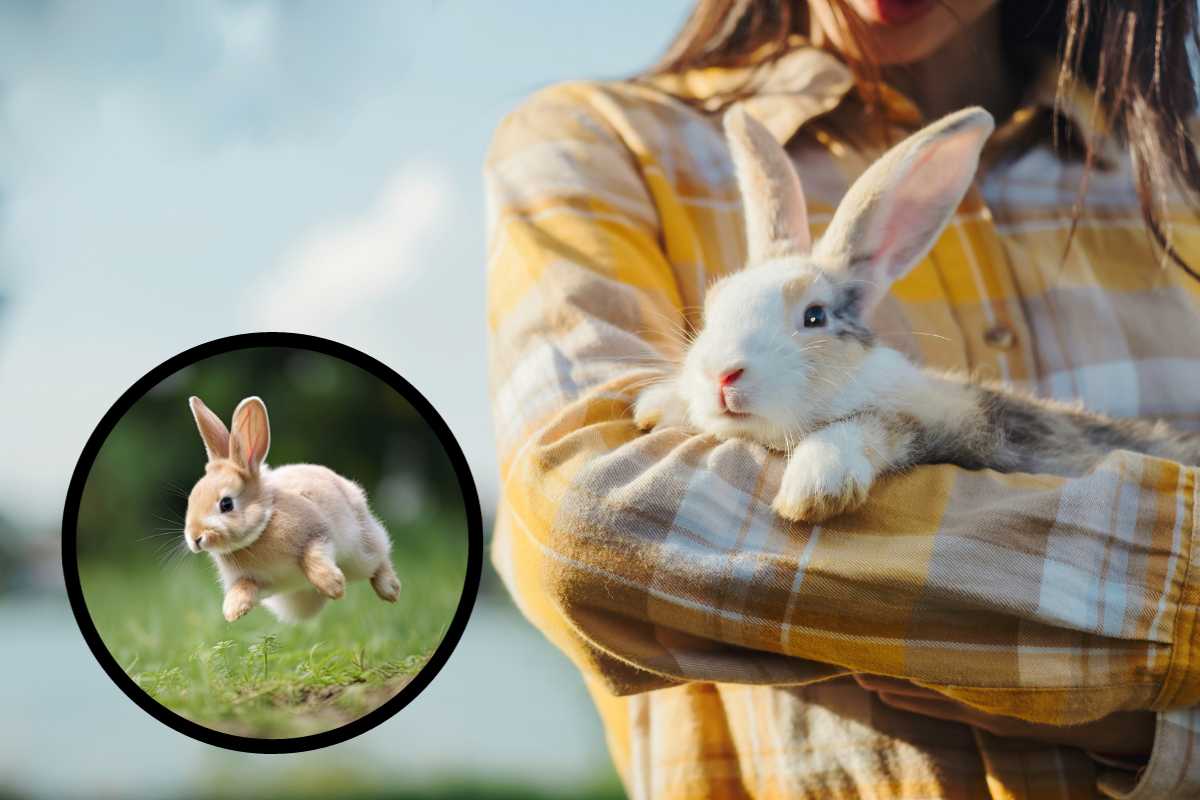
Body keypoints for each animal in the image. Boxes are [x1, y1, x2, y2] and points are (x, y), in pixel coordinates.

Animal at [184, 395, 402, 622]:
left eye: (226, 504)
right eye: (191, 500)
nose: (195, 538)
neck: (263, 527)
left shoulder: (317, 533)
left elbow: (312, 557)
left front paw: (333, 586)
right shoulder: (255, 581)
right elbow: (243, 587)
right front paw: (233, 611)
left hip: (360, 548)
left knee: (379, 557)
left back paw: (390, 589)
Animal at [634, 105, 1200, 523]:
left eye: (814, 316)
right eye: (714, 306)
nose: (722, 375)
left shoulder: (950, 427)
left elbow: (866, 427)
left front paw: (815, 489)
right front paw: (657, 406)